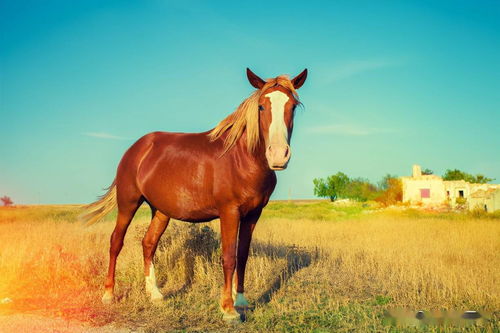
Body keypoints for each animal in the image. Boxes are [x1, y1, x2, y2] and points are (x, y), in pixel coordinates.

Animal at [81, 67, 306, 320]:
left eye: (292, 106)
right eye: (261, 106)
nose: (278, 155)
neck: (242, 159)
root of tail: (137, 148)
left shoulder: (253, 214)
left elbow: (242, 256)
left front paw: (241, 301)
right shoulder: (229, 212)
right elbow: (228, 257)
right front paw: (228, 309)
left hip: (161, 211)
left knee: (148, 243)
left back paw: (155, 294)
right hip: (128, 203)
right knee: (116, 242)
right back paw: (109, 294)